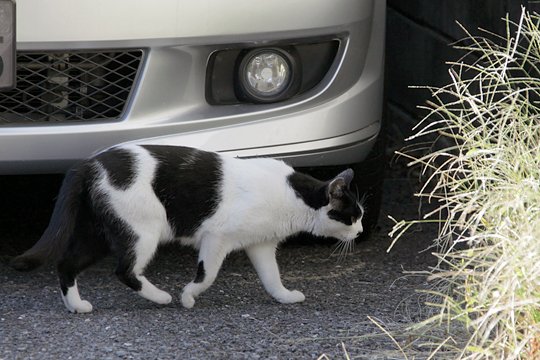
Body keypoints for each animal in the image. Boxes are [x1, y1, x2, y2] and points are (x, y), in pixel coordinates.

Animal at [12, 143, 364, 312]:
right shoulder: (216, 237)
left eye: (361, 216)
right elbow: (206, 275)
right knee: (124, 271)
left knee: (66, 264)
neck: (293, 196)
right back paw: (161, 297)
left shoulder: (260, 244)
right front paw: (188, 297)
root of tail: (88, 162)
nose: (360, 232)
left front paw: (284, 297)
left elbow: (271, 277)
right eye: (351, 217)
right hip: (143, 230)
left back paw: (77, 306)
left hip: (100, 233)